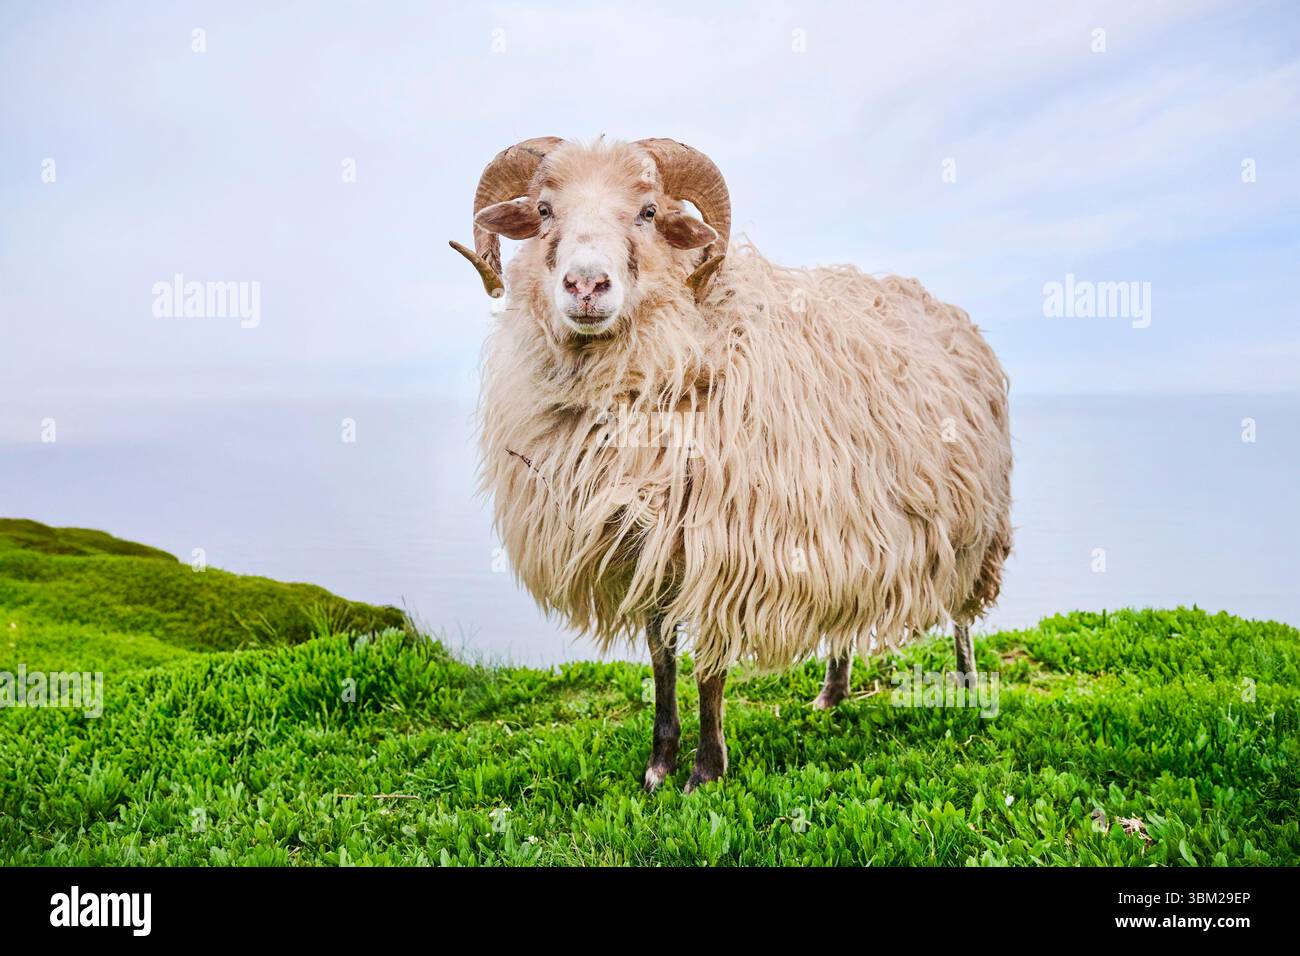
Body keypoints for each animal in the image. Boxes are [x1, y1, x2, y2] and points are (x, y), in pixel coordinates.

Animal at [451, 137, 1012, 792]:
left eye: (648, 212)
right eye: (542, 210)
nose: (586, 284)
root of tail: (942, 306)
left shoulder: (726, 549)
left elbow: (709, 670)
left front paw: (705, 771)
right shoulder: (649, 549)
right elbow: (662, 659)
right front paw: (659, 764)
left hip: (976, 518)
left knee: (963, 613)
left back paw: (967, 686)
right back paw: (832, 693)